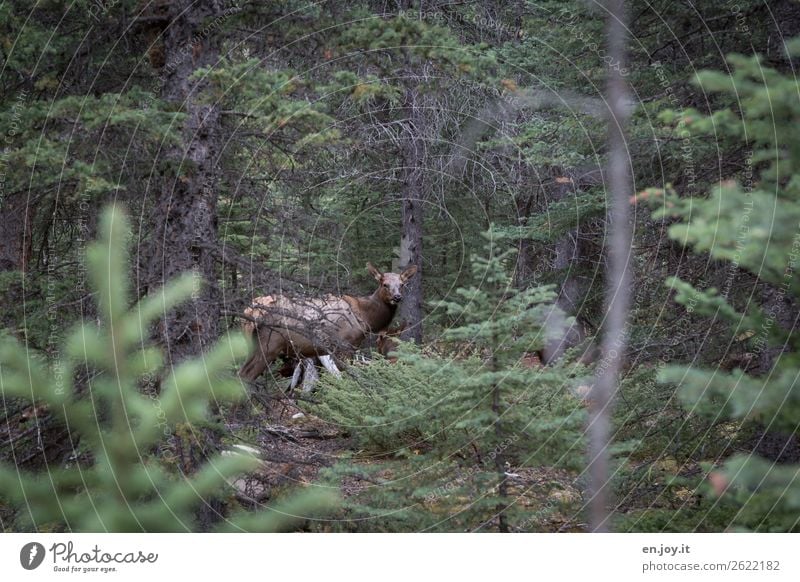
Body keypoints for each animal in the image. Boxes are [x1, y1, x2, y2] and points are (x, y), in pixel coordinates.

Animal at [239, 264, 418, 384]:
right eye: (384, 284)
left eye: (402, 284)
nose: (397, 297)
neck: (366, 318)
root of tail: (248, 311)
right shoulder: (345, 345)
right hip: (270, 344)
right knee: (245, 375)